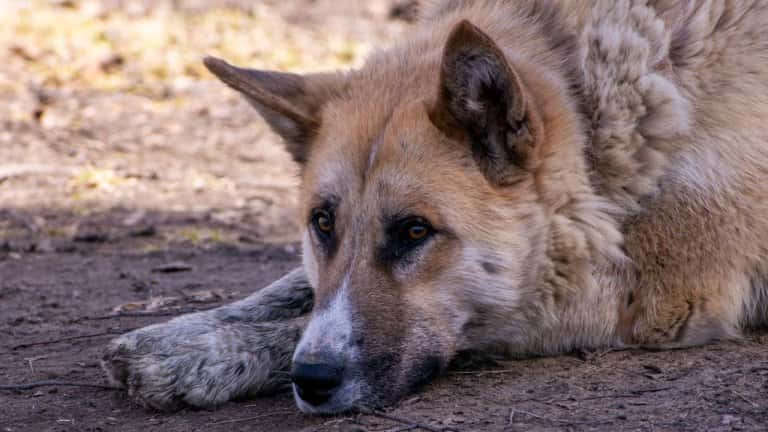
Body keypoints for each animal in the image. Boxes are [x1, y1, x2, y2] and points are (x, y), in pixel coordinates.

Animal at [102, 0, 768, 416]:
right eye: (323, 224)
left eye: (415, 231)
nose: (311, 380)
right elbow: (293, 291)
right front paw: (181, 335)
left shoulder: (655, 299)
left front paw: (206, 357)